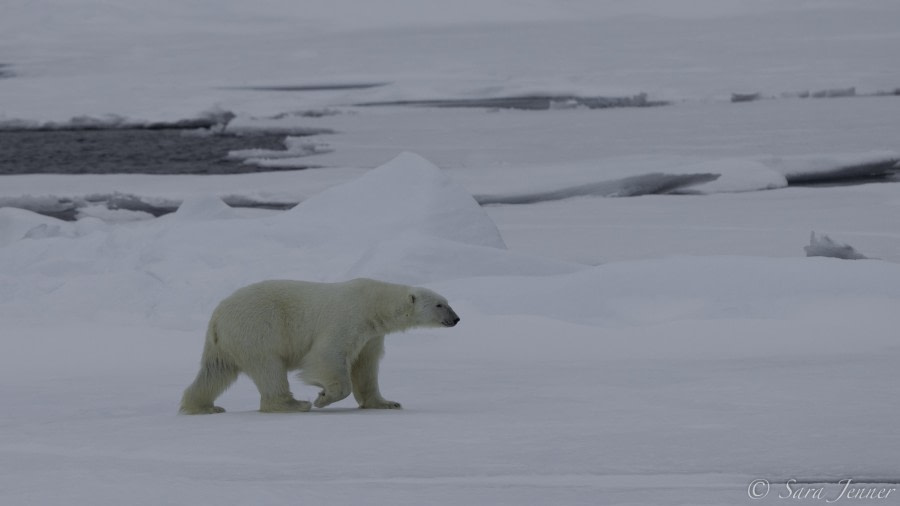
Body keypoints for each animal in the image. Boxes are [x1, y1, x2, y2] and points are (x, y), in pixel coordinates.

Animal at [178, 276, 458, 416]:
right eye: (440, 304)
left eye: (447, 302)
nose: (456, 319)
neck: (373, 304)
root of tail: (218, 315)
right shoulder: (348, 318)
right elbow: (327, 356)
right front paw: (323, 397)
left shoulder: (371, 335)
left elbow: (366, 367)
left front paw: (386, 403)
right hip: (257, 329)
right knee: (269, 367)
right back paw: (294, 404)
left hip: (227, 342)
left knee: (215, 371)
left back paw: (203, 406)